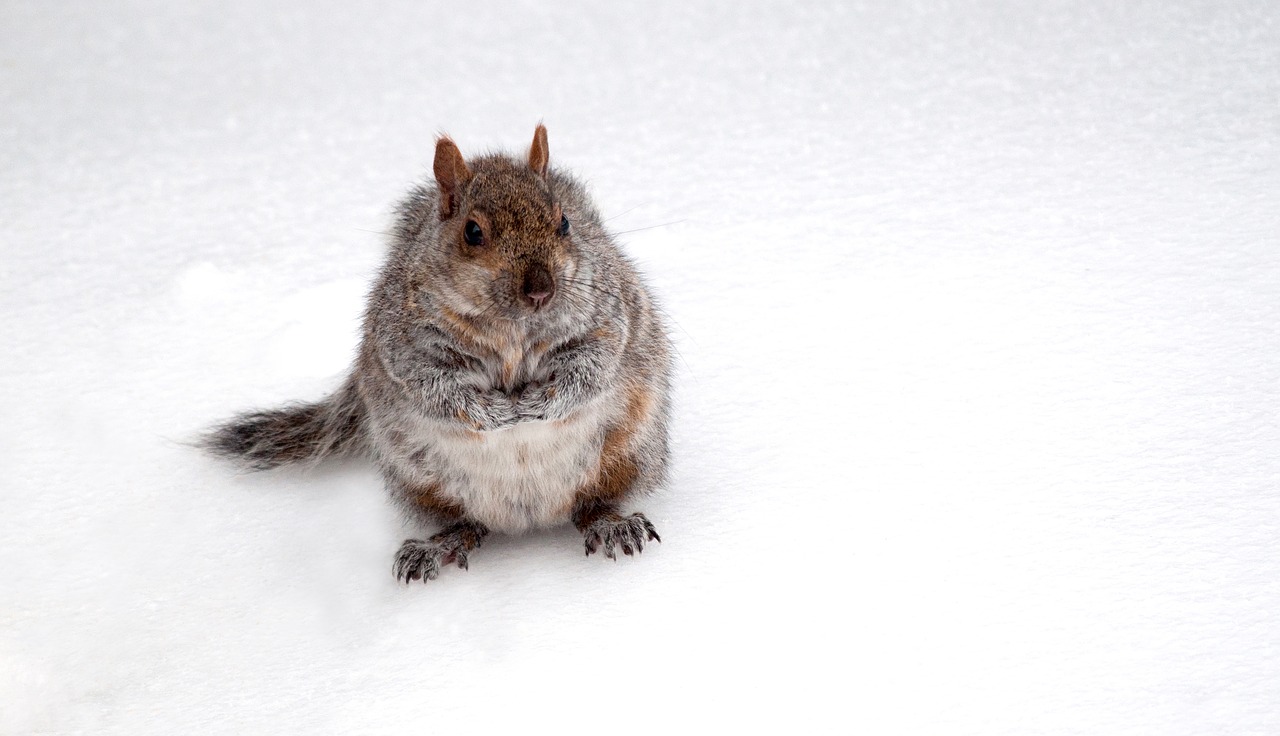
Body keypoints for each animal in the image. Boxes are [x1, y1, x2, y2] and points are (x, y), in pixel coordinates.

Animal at [202, 128, 670, 588]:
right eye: (472, 232)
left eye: (564, 222)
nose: (541, 290)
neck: (511, 328)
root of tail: (528, 519)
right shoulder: (406, 348)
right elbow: (438, 390)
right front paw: (496, 413)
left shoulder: (606, 319)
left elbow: (590, 368)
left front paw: (541, 404)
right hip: (421, 481)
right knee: (467, 523)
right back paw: (439, 545)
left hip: (625, 455)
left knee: (590, 504)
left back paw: (610, 523)